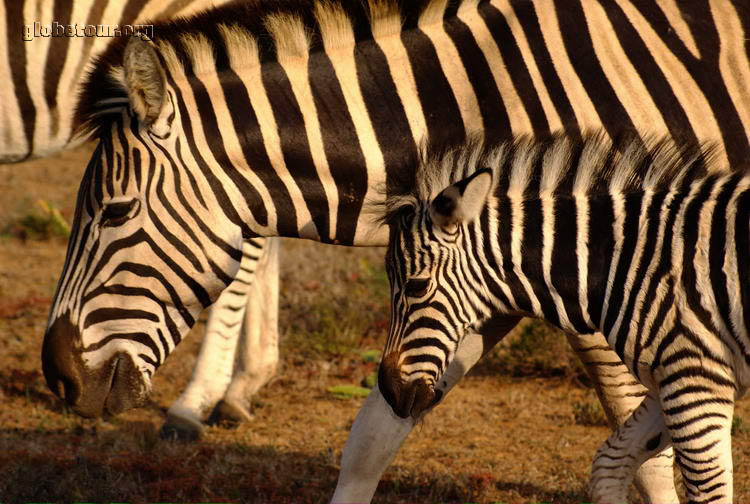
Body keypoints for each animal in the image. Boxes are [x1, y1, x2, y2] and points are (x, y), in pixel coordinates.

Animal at [378, 132, 748, 502]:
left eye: (417, 286)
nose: (389, 391)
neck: (626, 261)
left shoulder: (695, 377)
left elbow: (708, 491)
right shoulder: (667, 381)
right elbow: (608, 465)